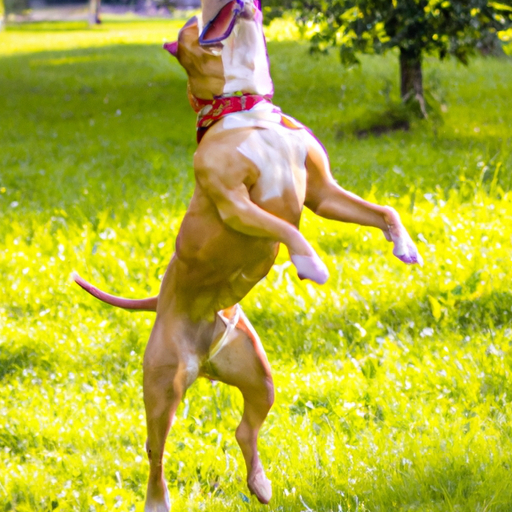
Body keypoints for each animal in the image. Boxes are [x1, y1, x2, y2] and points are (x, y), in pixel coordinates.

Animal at [74, 2, 422, 510]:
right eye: (191, 25)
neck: (244, 109)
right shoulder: (236, 203)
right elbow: (285, 228)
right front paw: (311, 263)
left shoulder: (323, 192)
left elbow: (382, 210)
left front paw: (404, 245)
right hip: (163, 387)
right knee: (156, 452)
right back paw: (158, 499)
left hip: (259, 377)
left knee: (244, 429)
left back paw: (258, 482)